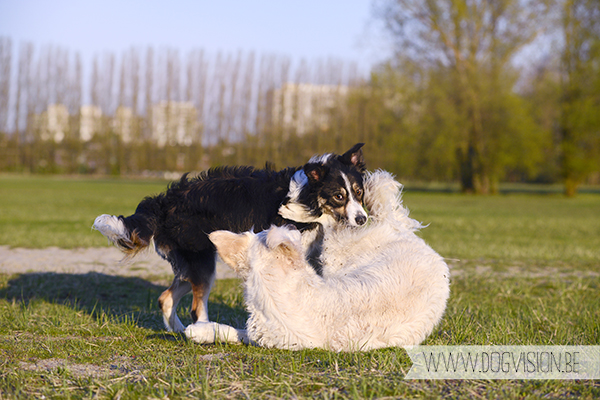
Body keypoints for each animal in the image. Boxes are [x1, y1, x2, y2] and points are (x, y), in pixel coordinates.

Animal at [94, 144, 368, 340]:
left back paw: (181, 331)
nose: (362, 219)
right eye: (338, 196)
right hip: (202, 261)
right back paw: (204, 332)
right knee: (195, 307)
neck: (309, 196)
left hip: (192, 265)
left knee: (166, 298)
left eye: (359, 192)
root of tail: (164, 201)